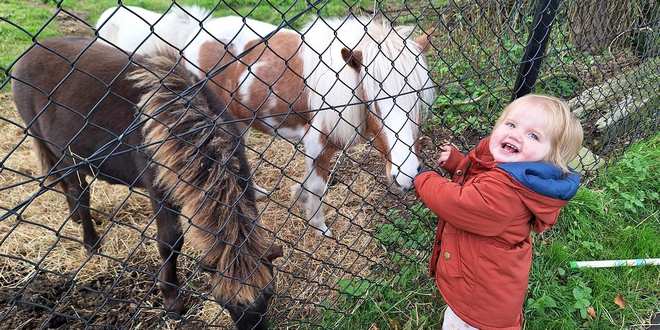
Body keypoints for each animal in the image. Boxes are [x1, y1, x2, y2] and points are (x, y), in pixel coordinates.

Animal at [10, 37, 282, 328]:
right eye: (225, 302)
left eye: (269, 293)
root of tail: (30, 53)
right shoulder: (160, 190)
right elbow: (170, 242)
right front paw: (172, 299)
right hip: (56, 147)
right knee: (78, 190)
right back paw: (91, 241)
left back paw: (75, 217)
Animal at [95, 9, 436, 236]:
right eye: (373, 101)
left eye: (417, 97)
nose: (407, 175)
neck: (337, 82)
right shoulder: (317, 141)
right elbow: (316, 187)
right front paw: (319, 226)